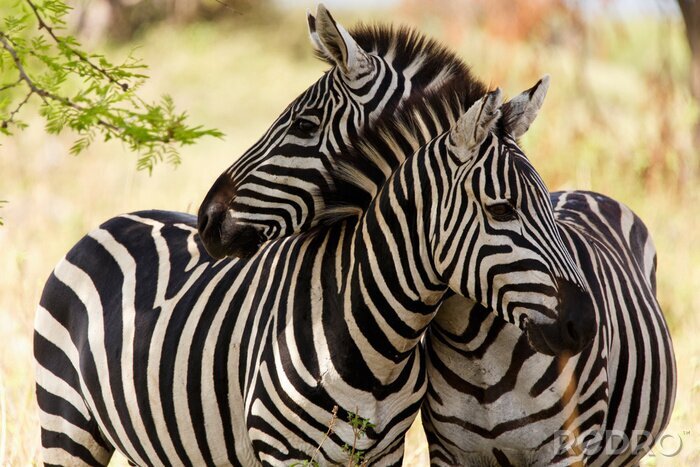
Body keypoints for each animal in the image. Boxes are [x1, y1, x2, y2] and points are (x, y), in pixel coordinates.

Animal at [34, 83, 595, 465]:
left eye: (549, 205)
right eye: (502, 210)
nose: (585, 324)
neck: (375, 343)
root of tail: (114, 220)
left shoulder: (384, 455)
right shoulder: (283, 454)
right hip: (66, 425)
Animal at [195, 10, 676, 466]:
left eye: (305, 124)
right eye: (503, 209)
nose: (206, 218)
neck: (479, 346)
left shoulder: (566, 449)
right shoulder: (450, 448)